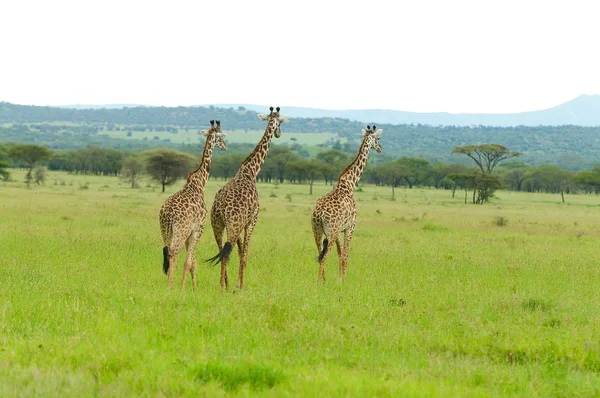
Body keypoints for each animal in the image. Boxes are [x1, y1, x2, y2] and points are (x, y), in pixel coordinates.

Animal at [159, 119, 227, 290]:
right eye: (221, 137)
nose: (225, 147)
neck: (200, 182)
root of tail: (168, 213)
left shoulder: (190, 232)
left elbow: (193, 262)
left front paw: (194, 289)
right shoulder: (198, 228)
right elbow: (189, 261)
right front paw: (184, 288)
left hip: (166, 230)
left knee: (167, 251)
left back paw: (170, 284)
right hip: (180, 231)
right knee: (173, 253)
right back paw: (171, 286)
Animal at [209, 107, 288, 290]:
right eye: (280, 122)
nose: (279, 133)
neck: (251, 171)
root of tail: (221, 207)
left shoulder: (242, 224)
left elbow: (239, 252)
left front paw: (236, 283)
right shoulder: (252, 220)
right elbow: (244, 254)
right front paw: (240, 286)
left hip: (217, 224)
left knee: (221, 250)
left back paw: (224, 285)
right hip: (233, 224)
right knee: (226, 253)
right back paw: (222, 288)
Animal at [312, 126, 382, 282]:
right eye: (378, 138)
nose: (380, 148)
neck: (350, 184)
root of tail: (319, 213)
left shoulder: (340, 229)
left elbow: (339, 253)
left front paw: (339, 279)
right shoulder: (350, 227)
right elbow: (345, 255)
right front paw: (344, 281)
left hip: (317, 231)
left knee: (319, 253)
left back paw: (324, 281)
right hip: (331, 231)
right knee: (324, 257)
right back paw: (319, 282)